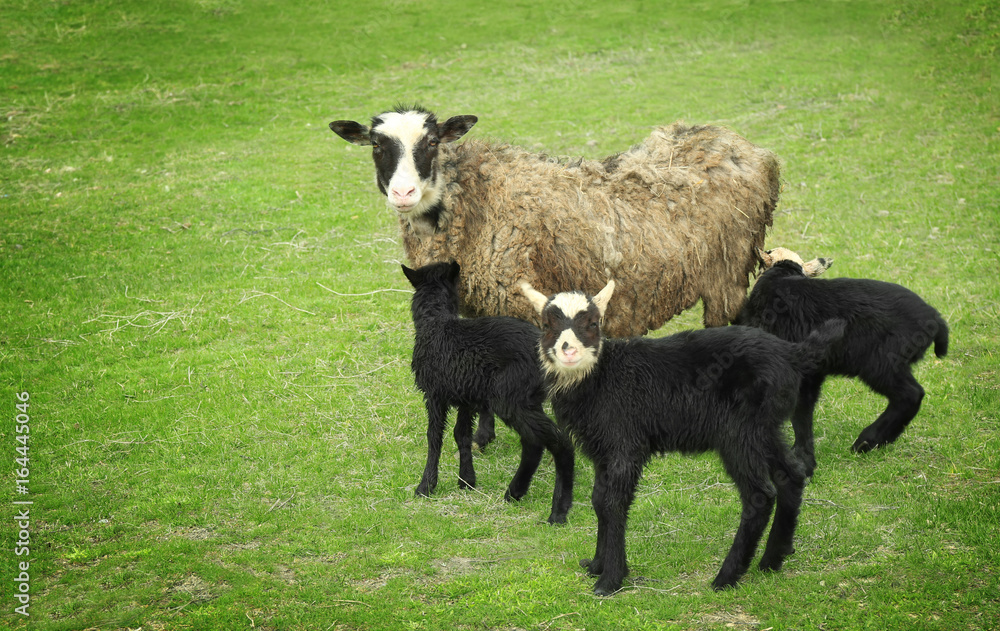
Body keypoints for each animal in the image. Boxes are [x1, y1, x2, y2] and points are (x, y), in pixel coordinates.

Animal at [402, 261, 575, 524]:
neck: (436, 322)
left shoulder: (434, 394)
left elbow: (434, 437)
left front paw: (426, 486)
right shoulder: (465, 395)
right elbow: (460, 434)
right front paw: (467, 481)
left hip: (510, 397)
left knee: (558, 442)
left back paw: (557, 512)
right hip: (526, 398)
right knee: (533, 443)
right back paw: (515, 492)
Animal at [519, 279, 845, 594]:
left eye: (593, 323)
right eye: (546, 325)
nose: (569, 351)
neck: (601, 378)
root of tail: (792, 354)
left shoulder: (626, 443)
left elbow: (614, 504)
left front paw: (610, 580)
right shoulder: (602, 450)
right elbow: (599, 501)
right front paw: (597, 565)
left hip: (739, 432)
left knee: (759, 496)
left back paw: (726, 577)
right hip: (765, 428)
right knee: (792, 474)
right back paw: (772, 559)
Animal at [733, 247, 949, 475]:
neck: (781, 274)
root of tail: (936, 321)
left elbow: (798, 410)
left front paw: (800, 459)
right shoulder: (811, 372)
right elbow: (804, 408)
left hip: (882, 364)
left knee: (911, 395)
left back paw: (866, 441)